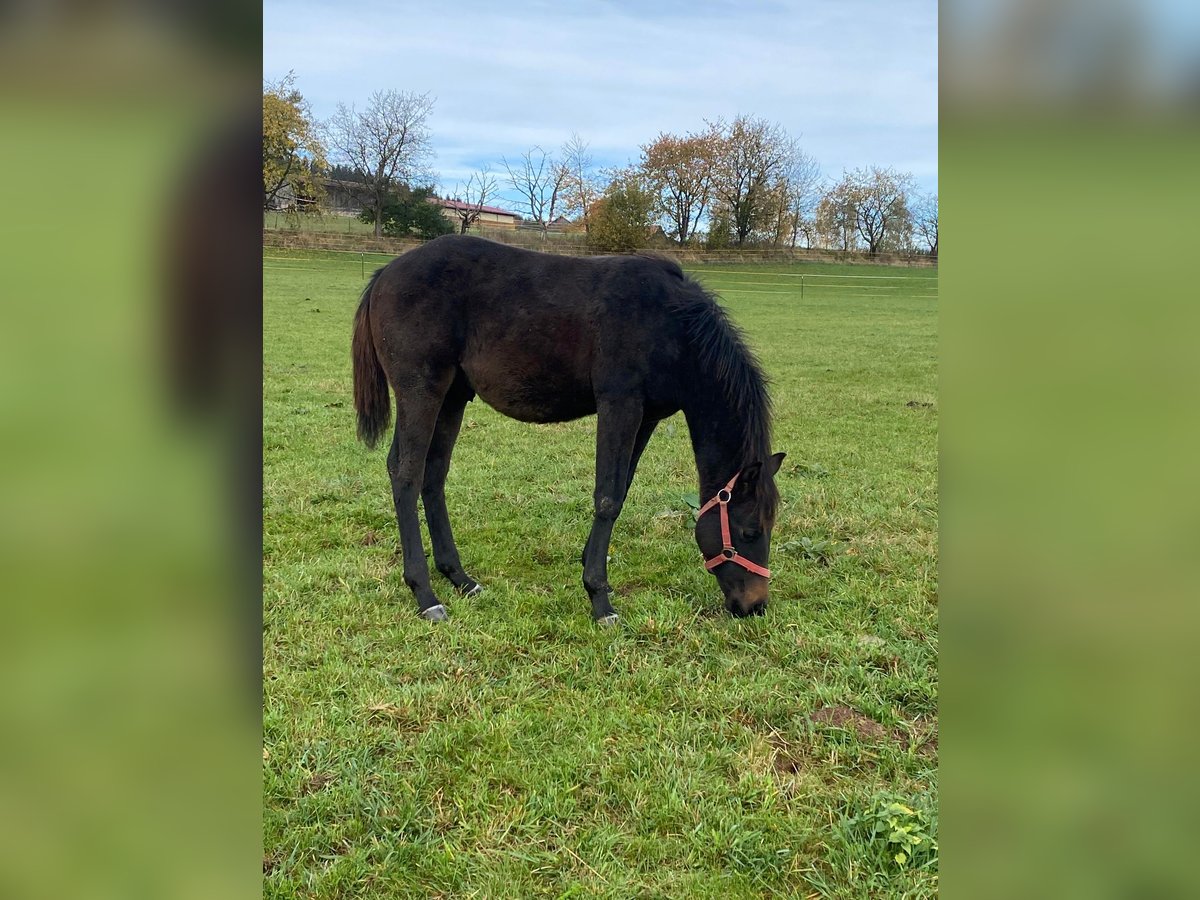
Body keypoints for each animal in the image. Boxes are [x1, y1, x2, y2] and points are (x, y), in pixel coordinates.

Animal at [350, 236, 782, 624]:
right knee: (405, 473)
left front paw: (591, 569)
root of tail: (385, 273)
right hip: (421, 391)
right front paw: (600, 600)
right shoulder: (620, 404)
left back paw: (460, 578)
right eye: (748, 532)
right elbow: (608, 496)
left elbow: (621, 489)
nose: (755, 605)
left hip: (453, 397)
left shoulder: (647, 416)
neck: (671, 325)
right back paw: (425, 594)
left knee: (433, 475)